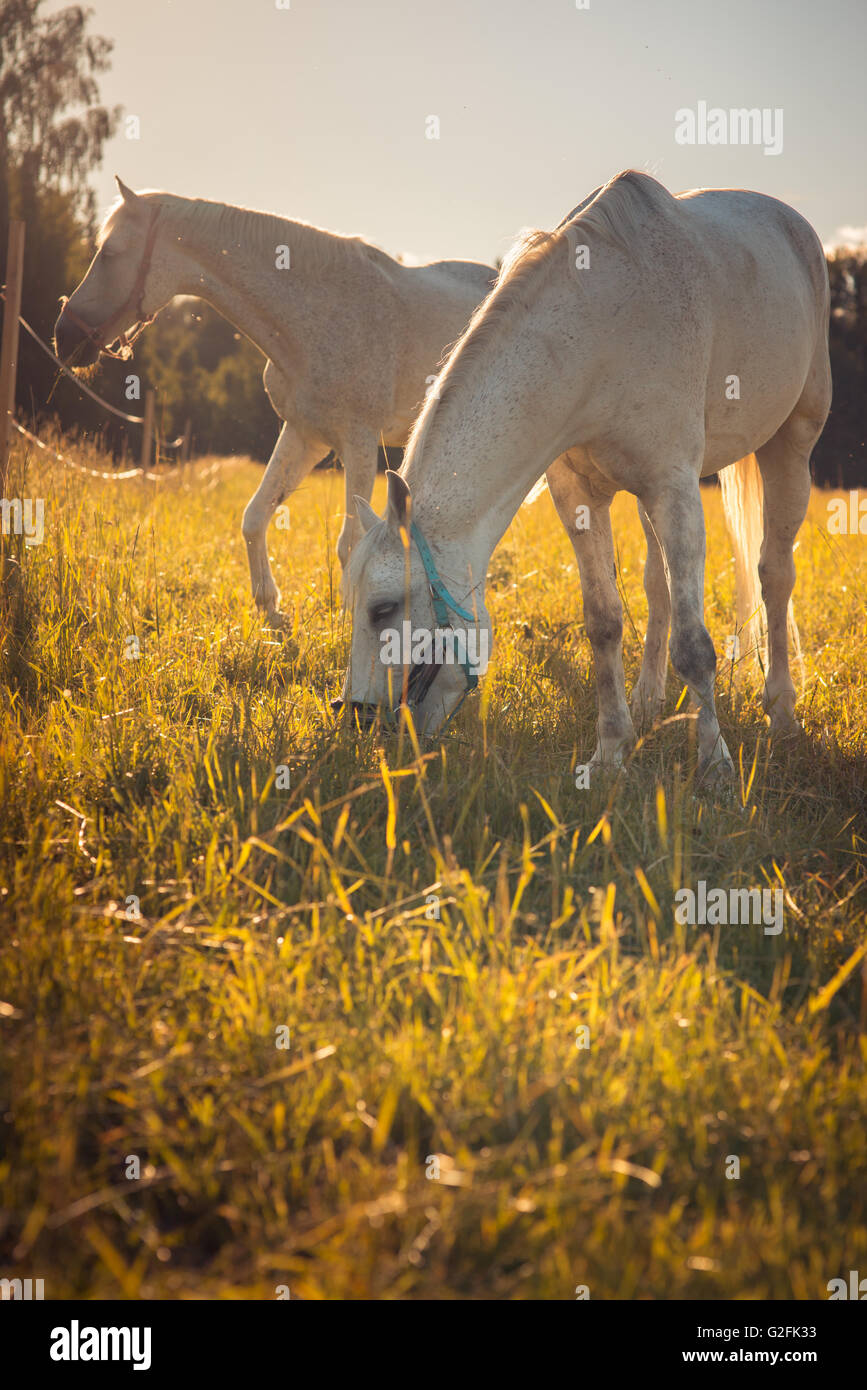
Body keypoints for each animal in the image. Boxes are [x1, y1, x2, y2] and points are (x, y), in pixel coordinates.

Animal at [53, 178, 496, 618]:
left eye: (109, 253)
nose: (64, 337)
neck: (317, 315)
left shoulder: (359, 441)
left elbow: (350, 544)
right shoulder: (305, 435)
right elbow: (255, 516)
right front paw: (271, 610)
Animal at [341, 170, 831, 782]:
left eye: (383, 608)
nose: (357, 719)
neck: (604, 333)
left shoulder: (674, 488)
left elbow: (695, 644)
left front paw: (715, 766)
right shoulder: (580, 496)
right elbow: (604, 622)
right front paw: (610, 753)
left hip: (792, 443)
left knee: (774, 575)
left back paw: (781, 713)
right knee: (659, 586)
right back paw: (649, 701)